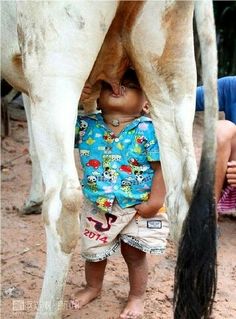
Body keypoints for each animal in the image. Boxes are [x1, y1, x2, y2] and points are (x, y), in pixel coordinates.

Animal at [0, 0, 218, 319]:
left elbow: (33, 143)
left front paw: (32, 200)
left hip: (53, 65)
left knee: (64, 203)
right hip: (171, 69)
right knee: (183, 193)